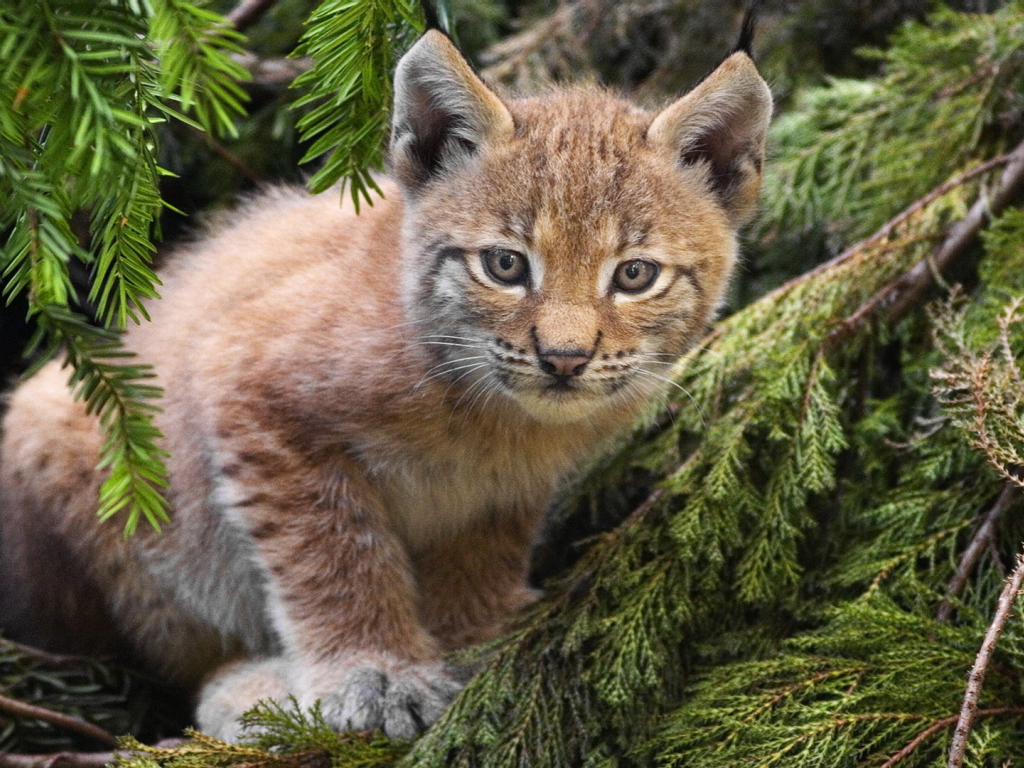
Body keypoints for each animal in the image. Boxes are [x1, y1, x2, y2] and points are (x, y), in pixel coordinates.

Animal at [0, 16, 770, 741]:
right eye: (505, 265)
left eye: (635, 275)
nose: (564, 358)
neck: (492, 412)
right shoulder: (248, 383)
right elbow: (334, 552)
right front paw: (374, 672)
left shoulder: (504, 489)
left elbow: (482, 552)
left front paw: (473, 639)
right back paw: (252, 695)